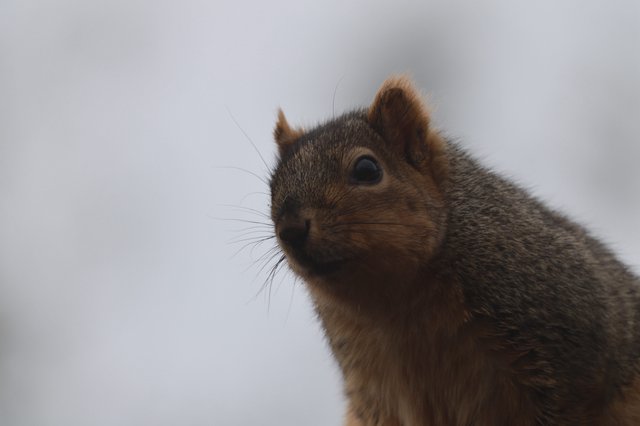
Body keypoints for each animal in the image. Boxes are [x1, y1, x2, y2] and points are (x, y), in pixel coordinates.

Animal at [268, 76, 640, 425]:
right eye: (273, 185)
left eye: (367, 169)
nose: (291, 228)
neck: (396, 304)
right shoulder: (376, 393)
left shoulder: (573, 333)